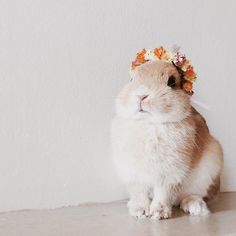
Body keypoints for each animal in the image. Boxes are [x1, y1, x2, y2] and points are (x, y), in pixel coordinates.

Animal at [110, 59, 223, 219]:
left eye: (171, 82)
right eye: (131, 79)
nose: (141, 96)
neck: (150, 124)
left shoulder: (170, 173)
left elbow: (164, 193)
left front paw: (159, 213)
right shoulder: (133, 174)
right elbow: (139, 192)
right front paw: (139, 211)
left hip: (209, 168)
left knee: (192, 195)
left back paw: (194, 206)